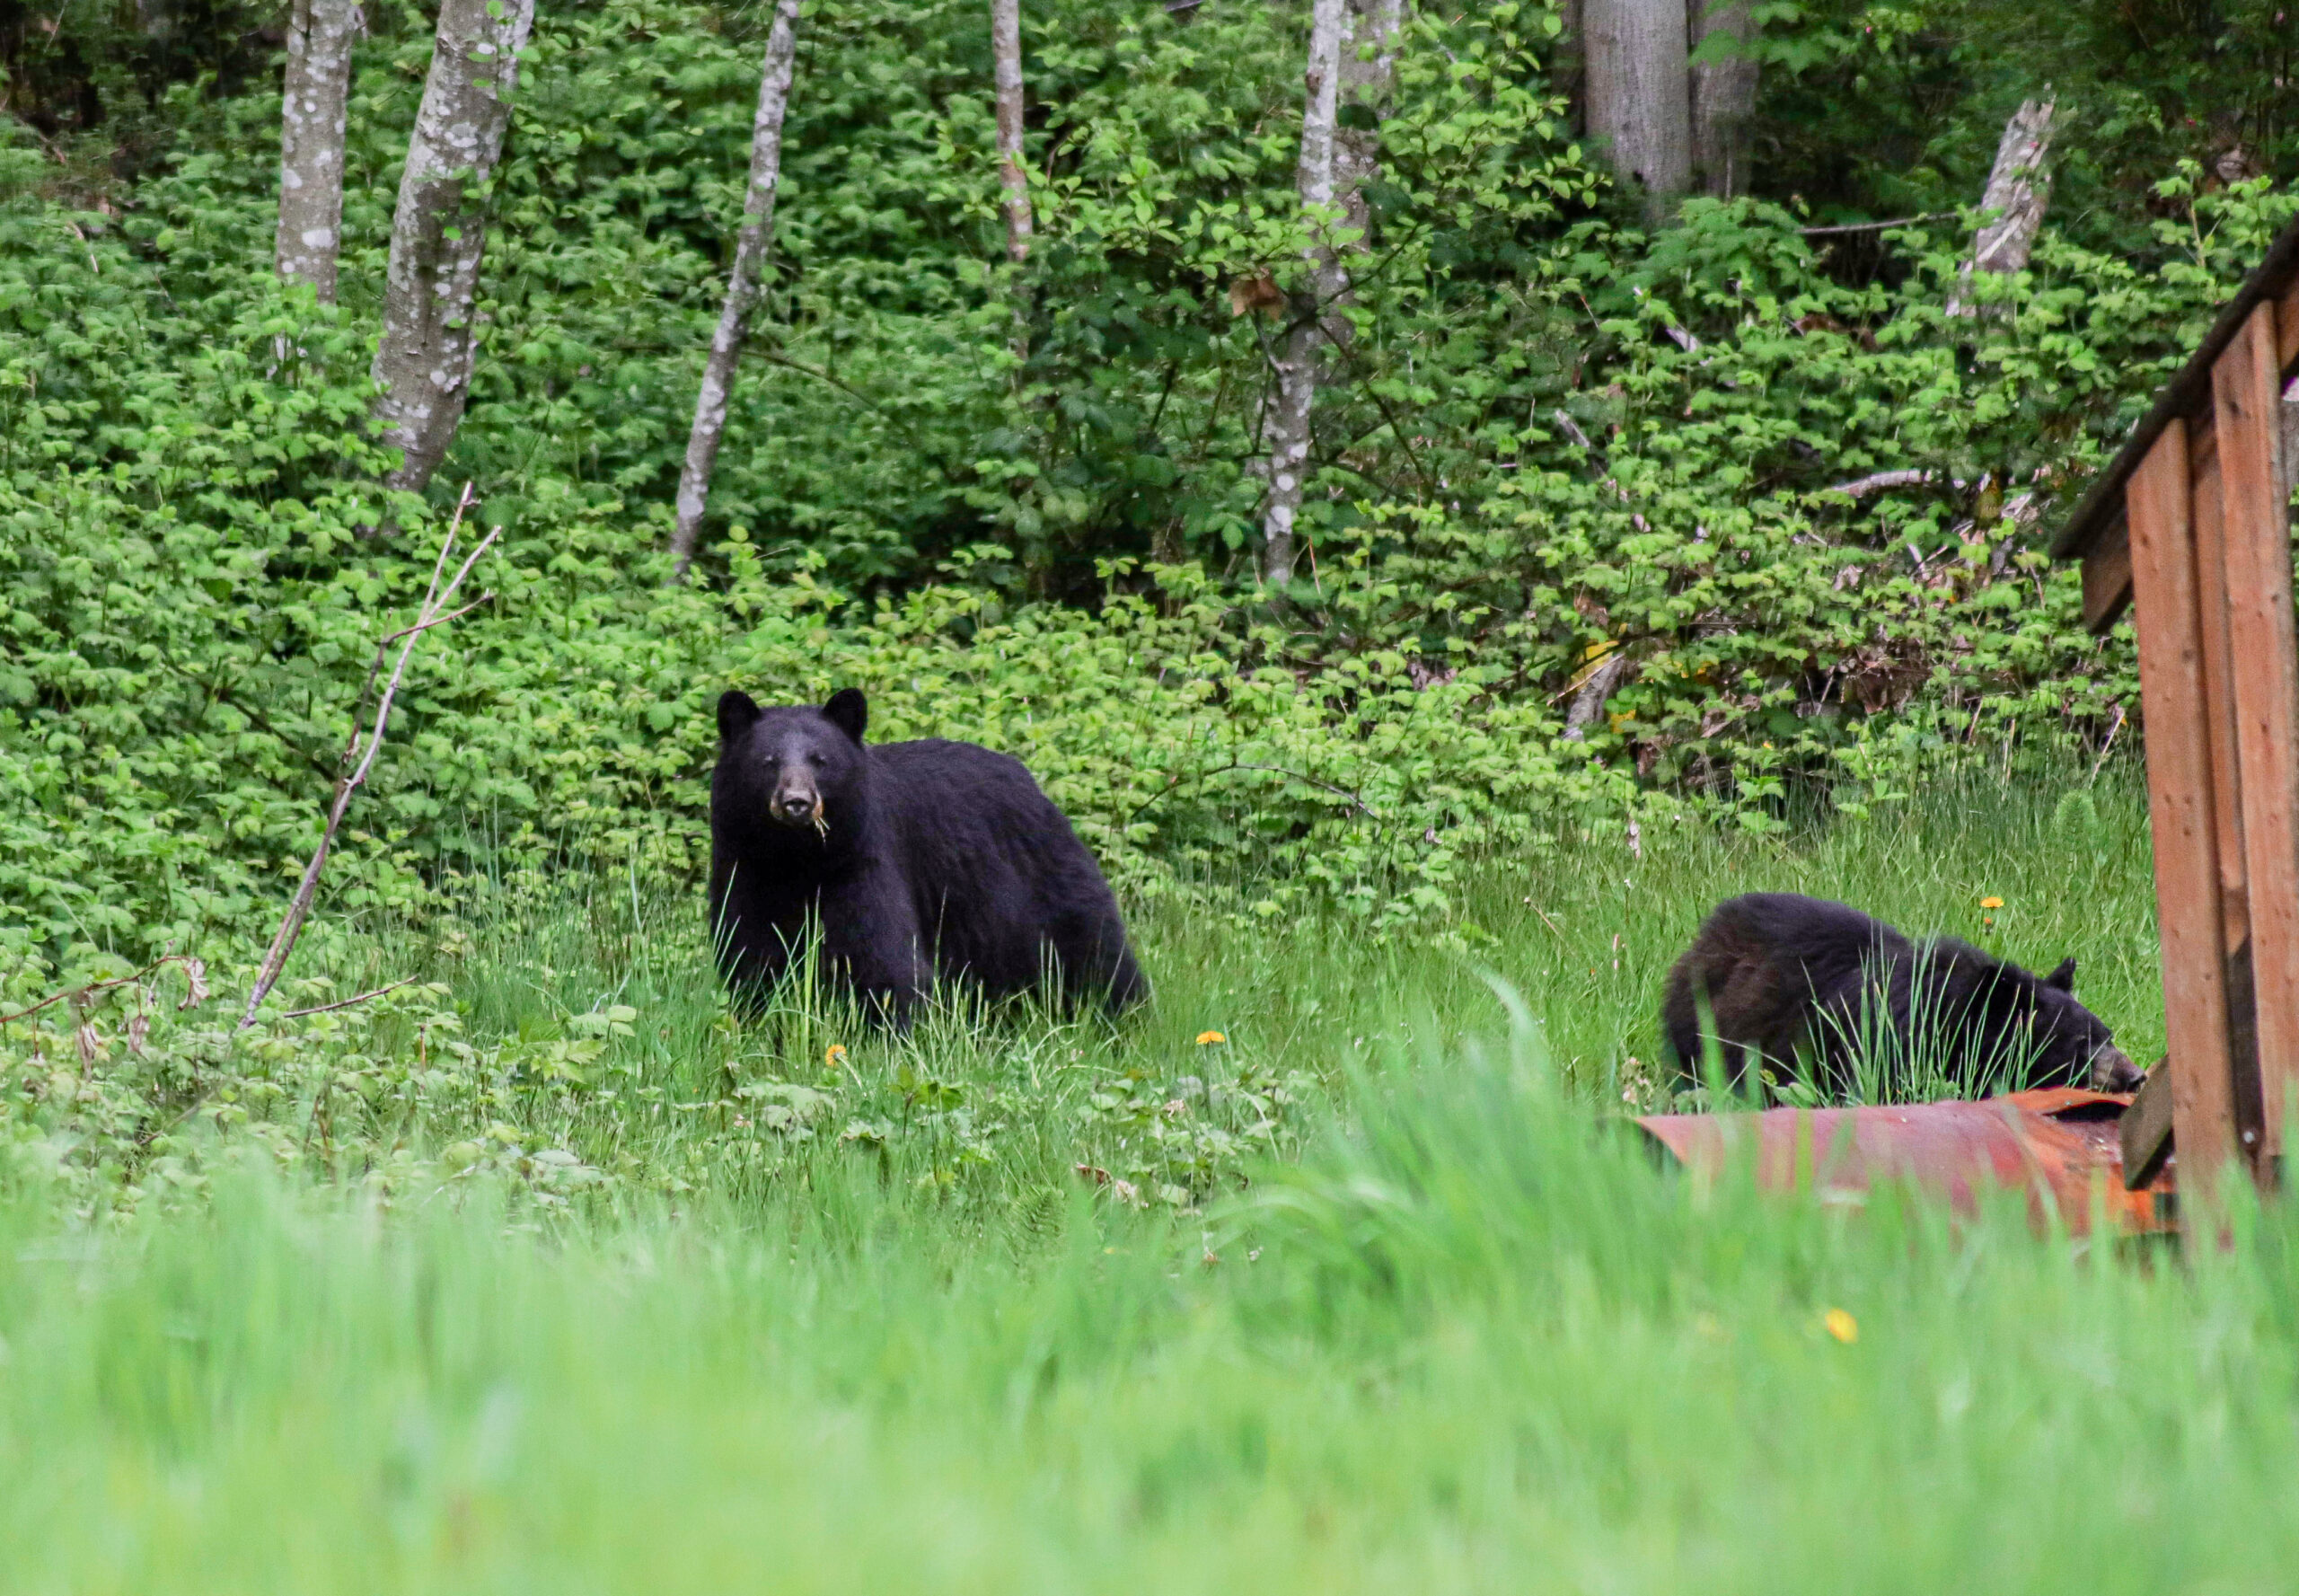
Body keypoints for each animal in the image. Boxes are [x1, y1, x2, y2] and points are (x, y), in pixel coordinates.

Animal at [708, 687, 1148, 1023]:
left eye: (821, 761)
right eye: (768, 762)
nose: (797, 802)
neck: (796, 860)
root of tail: (1032, 783)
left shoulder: (861, 863)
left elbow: (884, 957)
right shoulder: (744, 869)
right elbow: (750, 952)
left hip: (1039, 875)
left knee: (1093, 949)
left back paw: (1124, 1017)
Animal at [1659, 892, 2141, 1099]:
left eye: (2108, 1034)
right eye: (2080, 1043)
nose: (2135, 1076)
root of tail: (1708, 930)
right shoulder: (1883, 1043)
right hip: (1705, 1028)